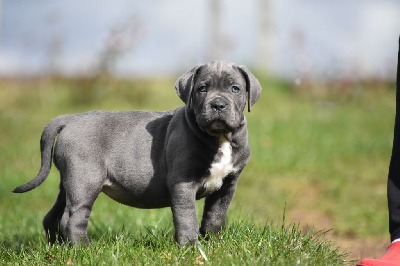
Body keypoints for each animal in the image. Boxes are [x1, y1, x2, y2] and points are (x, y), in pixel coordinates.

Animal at [12, 60, 260, 245]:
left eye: (235, 89)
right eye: (202, 88)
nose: (218, 105)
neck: (220, 137)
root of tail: (70, 119)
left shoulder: (227, 185)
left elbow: (215, 216)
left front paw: (213, 245)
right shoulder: (183, 183)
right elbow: (186, 216)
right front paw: (191, 247)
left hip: (69, 182)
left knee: (52, 216)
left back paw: (59, 248)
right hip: (85, 180)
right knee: (72, 218)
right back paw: (84, 250)